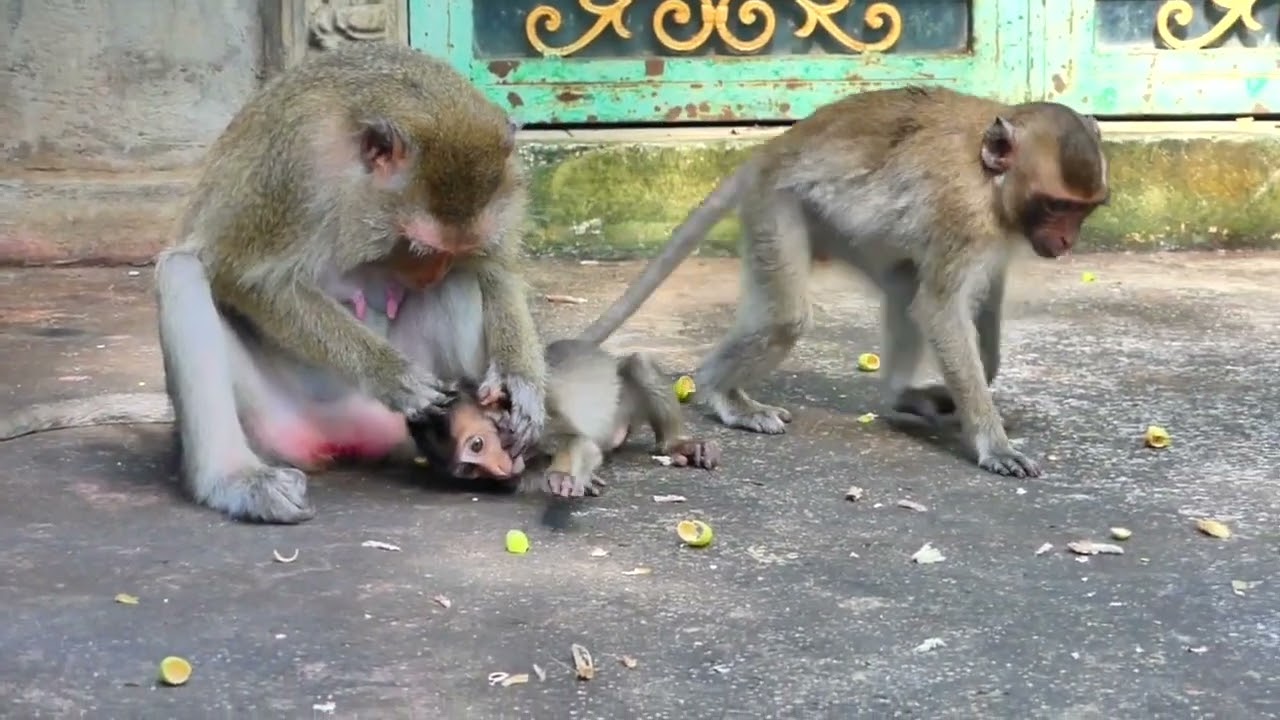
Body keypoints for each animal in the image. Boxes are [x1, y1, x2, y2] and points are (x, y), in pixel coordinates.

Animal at [151, 41, 547, 523]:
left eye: (452, 250)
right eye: (418, 248)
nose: (431, 272)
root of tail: (342, 436)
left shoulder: (506, 186)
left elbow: (493, 270)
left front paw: (520, 385)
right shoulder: (292, 167)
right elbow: (243, 277)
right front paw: (392, 376)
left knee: (459, 286)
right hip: (273, 422)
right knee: (182, 271)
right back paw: (235, 479)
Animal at [573, 86, 1110, 479]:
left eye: (1084, 209)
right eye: (1056, 205)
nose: (1066, 240)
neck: (990, 182)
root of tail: (773, 149)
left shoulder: (992, 234)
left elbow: (973, 300)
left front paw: (976, 384)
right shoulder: (963, 214)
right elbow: (940, 310)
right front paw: (992, 442)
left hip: (845, 229)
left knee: (902, 285)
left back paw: (898, 397)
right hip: (777, 207)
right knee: (789, 317)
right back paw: (722, 393)